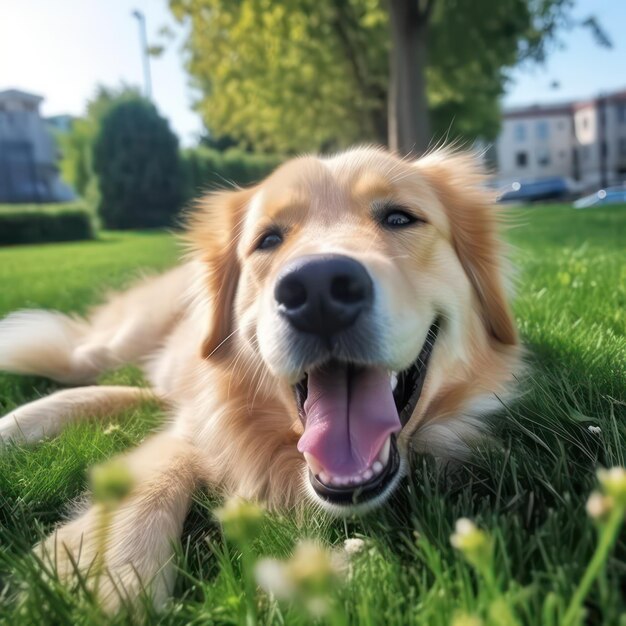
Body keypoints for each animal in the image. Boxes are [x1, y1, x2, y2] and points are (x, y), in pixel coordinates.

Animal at [0, 145, 516, 604]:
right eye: (269, 239)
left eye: (399, 218)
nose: (318, 289)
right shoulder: (199, 423)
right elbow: (160, 472)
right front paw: (107, 577)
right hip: (109, 345)